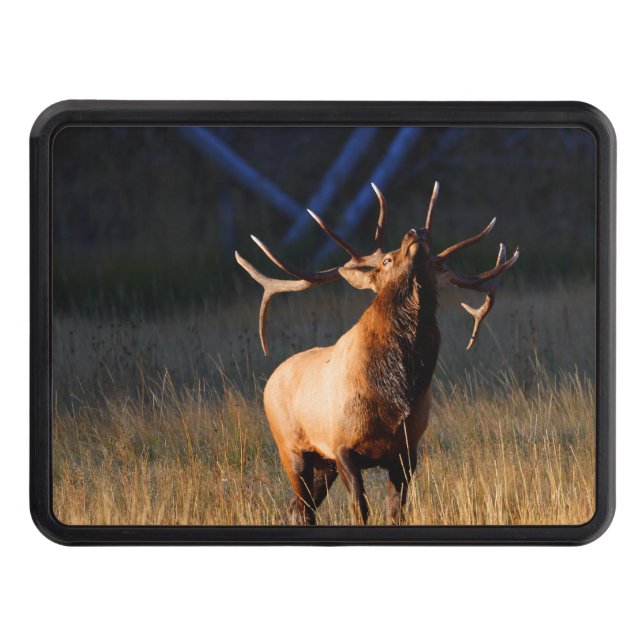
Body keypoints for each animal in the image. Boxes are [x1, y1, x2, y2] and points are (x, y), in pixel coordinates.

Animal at [235, 181, 519, 525]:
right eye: (386, 261)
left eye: (434, 264)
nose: (417, 232)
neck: (395, 396)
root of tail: (271, 380)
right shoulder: (341, 445)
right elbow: (361, 506)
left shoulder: (406, 450)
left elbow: (397, 511)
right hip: (291, 448)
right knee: (301, 507)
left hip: (322, 464)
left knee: (298, 507)